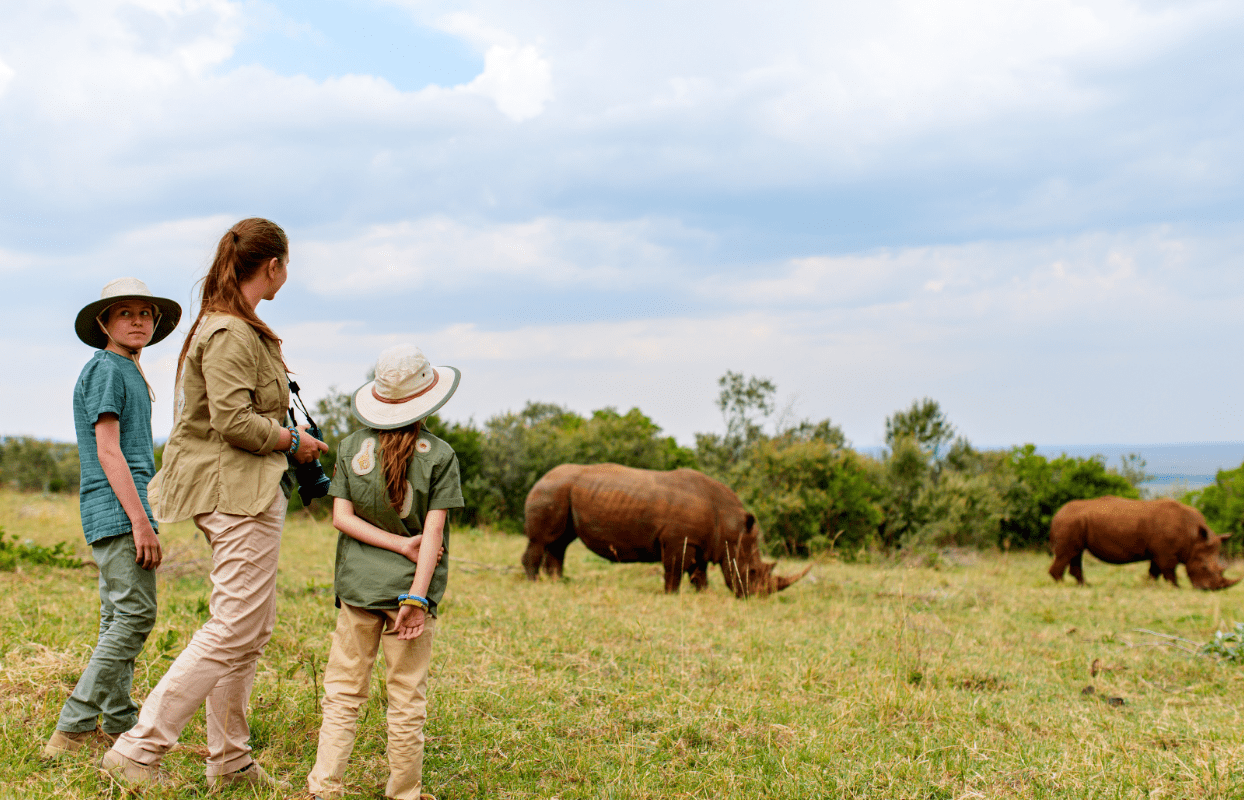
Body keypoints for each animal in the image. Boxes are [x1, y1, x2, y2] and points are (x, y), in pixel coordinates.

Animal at [522, 463, 810, 597]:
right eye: (751, 572)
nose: (756, 597)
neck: (731, 525)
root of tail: (542, 476)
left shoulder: (701, 543)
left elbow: (699, 573)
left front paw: (703, 595)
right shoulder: (678, 540)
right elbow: (675, 570)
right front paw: (671, 595)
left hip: (560, 490)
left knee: (560, 543)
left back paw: (558, 582)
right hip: (551, 491)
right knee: (542, 540)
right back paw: (535, 583)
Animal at [1048, 496, 1239, 590]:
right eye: (1205, 567)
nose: (1210, 589)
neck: (1194, 538)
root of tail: (1057, 513)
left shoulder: (1159, 551)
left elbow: (1154, 571)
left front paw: (1150, 585)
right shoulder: (1166, 553)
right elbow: (1169, 571)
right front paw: (1177, 588)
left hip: (1075, 522)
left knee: (1076, 553)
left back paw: (1084, 585)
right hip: (1069, 521)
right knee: (1068, 553)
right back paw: (1062, 585)